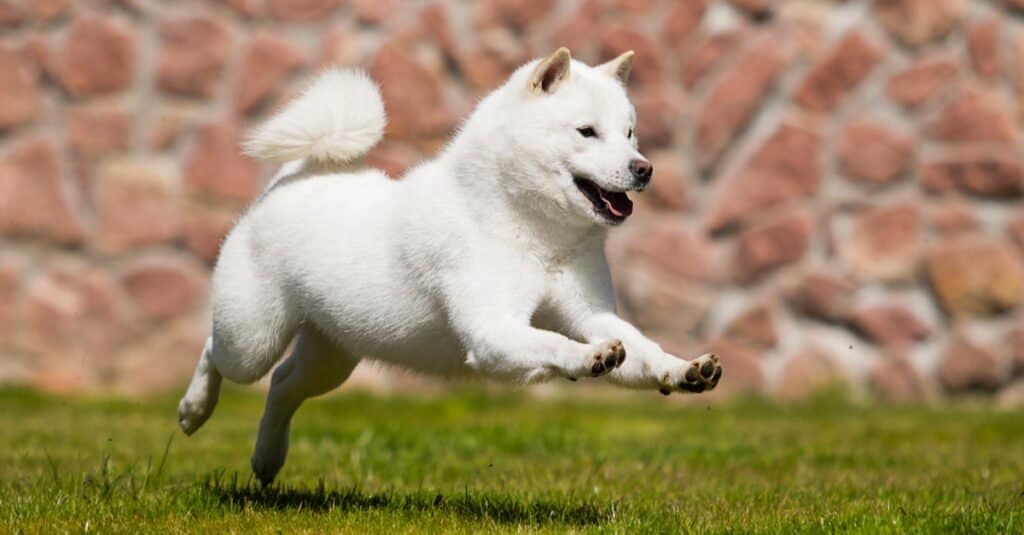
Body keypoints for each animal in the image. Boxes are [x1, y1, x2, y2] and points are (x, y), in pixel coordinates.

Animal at [178, 48, 720, 483]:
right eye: (587, 132)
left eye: (630, 134)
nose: (644, 168)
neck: (530, 231)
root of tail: (293, 176)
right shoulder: (492, 331)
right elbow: (552, 343)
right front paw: (587, 358)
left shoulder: (593, 314)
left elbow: (643, 352)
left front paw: (685, 369)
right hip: (254, 337)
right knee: (216, 352)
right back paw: (193, 410)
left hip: (331, 354)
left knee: (283, 387)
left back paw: (267, 459)